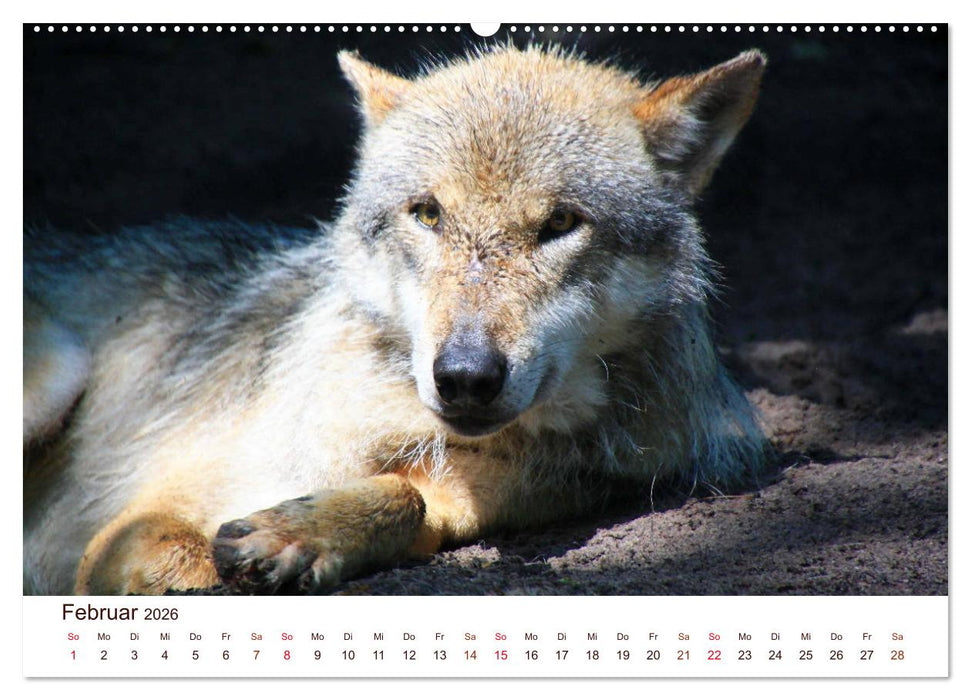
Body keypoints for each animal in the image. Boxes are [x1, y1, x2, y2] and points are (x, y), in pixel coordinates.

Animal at [24, 45, 769, 595]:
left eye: (560, 223)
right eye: (428, 214)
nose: (465, 376)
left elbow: (408, 500)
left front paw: (300, 535)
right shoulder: (133, 525)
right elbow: (187, 561)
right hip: (59, 375)